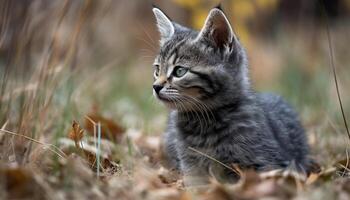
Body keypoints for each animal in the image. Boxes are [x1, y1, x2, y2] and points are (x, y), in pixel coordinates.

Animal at [152, 6, 310, 184]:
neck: (204, 123)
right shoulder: (191, 167)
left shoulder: (270, 164)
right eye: (157, 69)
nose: (156, 86)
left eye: (179, 71)